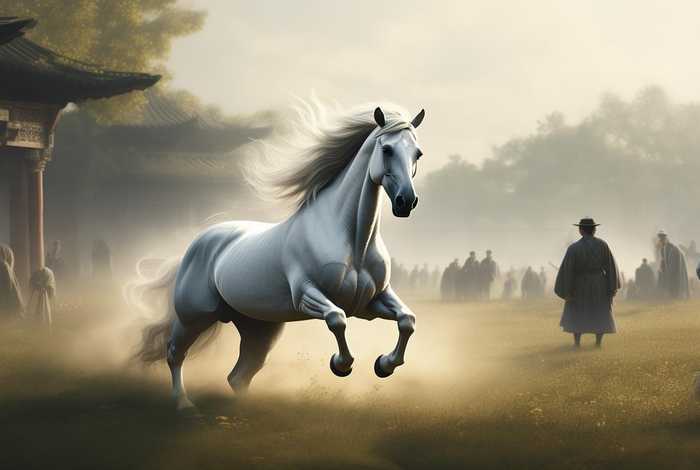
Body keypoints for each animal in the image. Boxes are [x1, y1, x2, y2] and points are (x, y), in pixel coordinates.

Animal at [129, 103, 426, 411]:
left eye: (417, 153)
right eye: (387, 149)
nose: (406, 202)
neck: (353, 242)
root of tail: (197, 244)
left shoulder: (370, 302)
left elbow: (407, 320)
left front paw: (383, 365)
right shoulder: (307, 295)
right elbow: (337, 319)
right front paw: (341, 365)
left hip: (259, 329)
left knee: (239, 375)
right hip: (193, 317)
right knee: (175, 353)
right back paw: (184, 403)